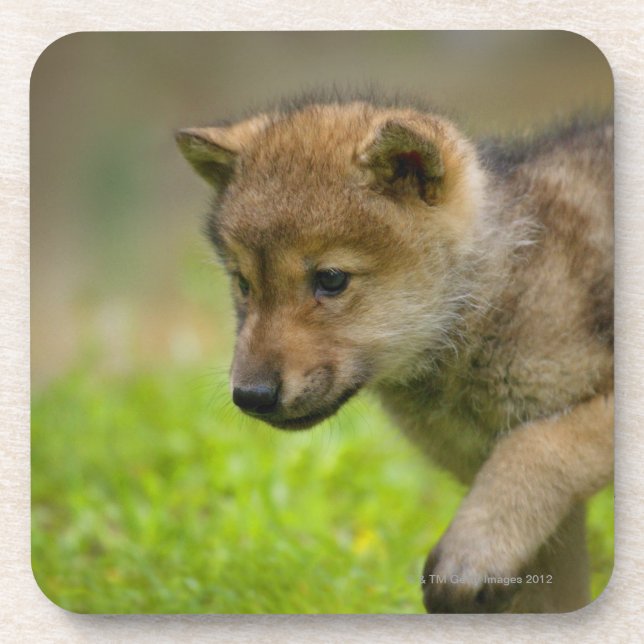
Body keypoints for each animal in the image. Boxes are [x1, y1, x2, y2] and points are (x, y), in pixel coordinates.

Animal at [176, 96, 613, 613]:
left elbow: (539, 445)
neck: (502, 289)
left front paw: (470, 551)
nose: (251, 395)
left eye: (331, 279)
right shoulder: (549, 523)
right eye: (243, 284)